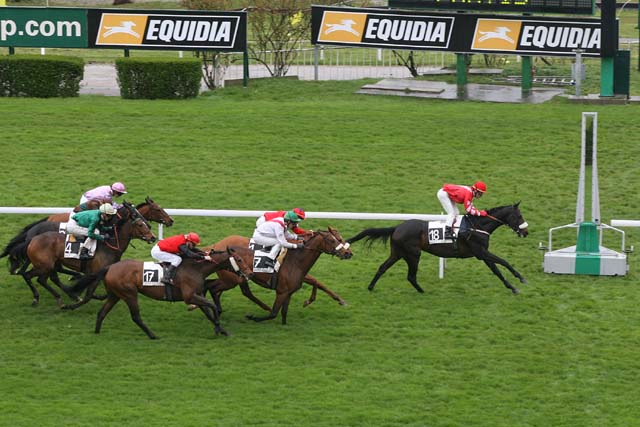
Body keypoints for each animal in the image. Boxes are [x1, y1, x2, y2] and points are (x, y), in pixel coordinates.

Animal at [12, 202, 156, 307]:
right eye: (139, 224)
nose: (153, 236)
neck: (109, 245)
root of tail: (33, 238)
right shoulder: (95, 271)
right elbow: (90, 290)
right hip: (44, 265)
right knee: (29, 275)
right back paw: (38, 297)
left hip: (49, 265)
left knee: (44, 279)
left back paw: (62, 296)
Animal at [62, 247, 254, 339]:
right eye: (238, 259)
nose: (250, 273)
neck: (196, 269)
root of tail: (110, 267)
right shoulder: (189, 296)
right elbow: (212, 306)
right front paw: (218, 328)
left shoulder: (197, 295)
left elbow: (208, 312)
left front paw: (221, 330)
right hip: (130, 294)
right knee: (135, 316)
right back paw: (152, 335)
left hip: (115, 295)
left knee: (102, 312)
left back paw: (96, 332)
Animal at [206, 227, 353, 325]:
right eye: (333, 240)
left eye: (340, 238)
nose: (348, 253)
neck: (295, 260)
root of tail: (216, 245)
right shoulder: (282, 291)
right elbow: (274, 313)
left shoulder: (289, 290)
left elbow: (284, 311)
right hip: (231, 280)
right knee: (216, 288)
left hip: (235, 278)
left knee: (216, 287)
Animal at [346, 203, 529, 295]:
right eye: (519, 216)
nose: (526, 232)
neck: (477, 226)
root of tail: (397, 227)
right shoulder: (481, 252)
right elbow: (504, 262)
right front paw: (521, 279)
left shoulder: (482, 254)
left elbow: (497, 270)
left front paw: (512, 287)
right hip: (413, 254)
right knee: (410, 276)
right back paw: (422, 291)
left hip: (397, 253)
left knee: (382, 267)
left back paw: (371, 287)